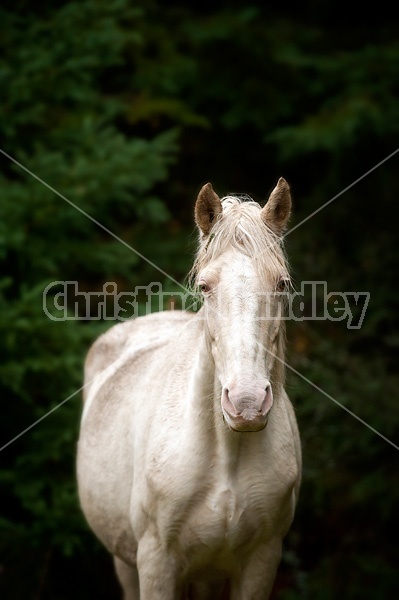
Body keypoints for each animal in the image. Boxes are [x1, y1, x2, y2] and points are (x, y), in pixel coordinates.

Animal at [76, 178, 302, 600]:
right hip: (125, 561)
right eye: (205, 285)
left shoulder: (261, 562)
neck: (226, 454)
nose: (247, 402)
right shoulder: (155, 563)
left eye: (281, 283)